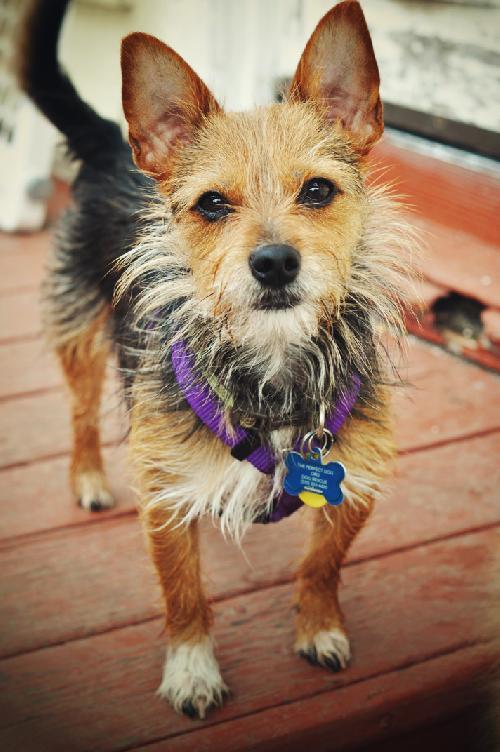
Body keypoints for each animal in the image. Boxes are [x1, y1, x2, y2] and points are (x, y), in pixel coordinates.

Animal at [17, 0, 416, 720]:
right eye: (211, 204)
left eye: (318, 191)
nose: (275, 262)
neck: (272, 364)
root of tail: (113, 142)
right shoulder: (165, 495)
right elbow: (183, 591)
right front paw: (192, 669)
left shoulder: (353, 481)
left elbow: (323, 566)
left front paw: (319, 627)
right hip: (80, 330)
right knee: (82, 411)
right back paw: (87, 477)